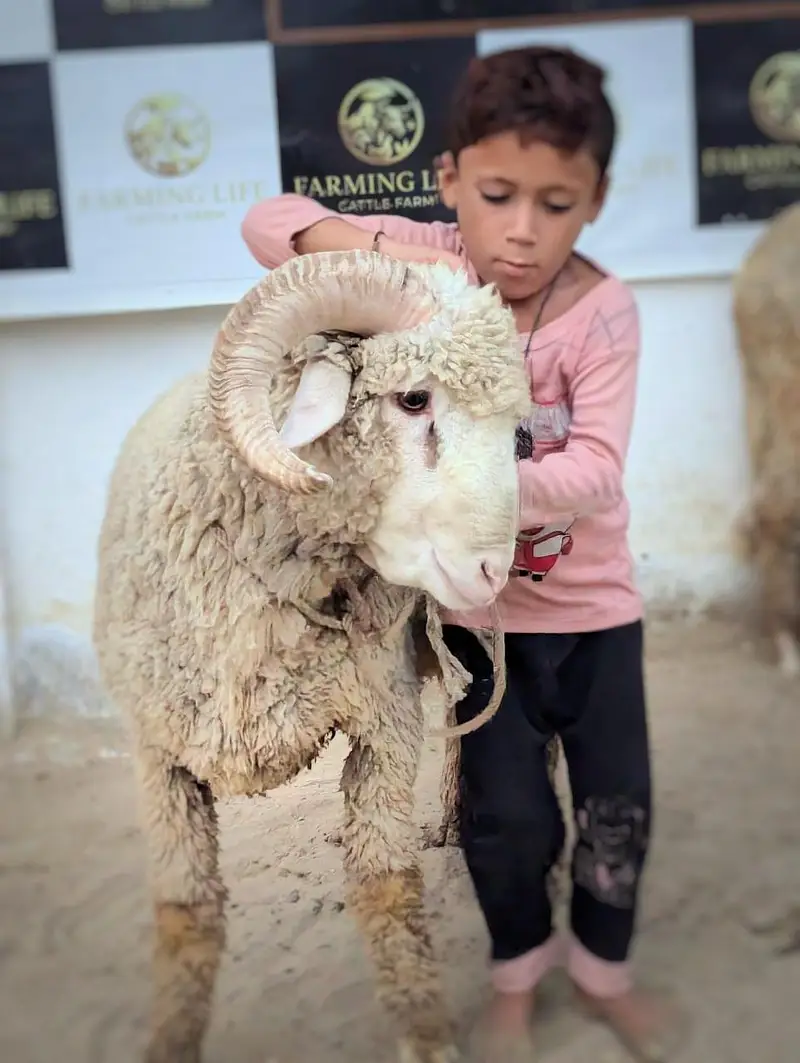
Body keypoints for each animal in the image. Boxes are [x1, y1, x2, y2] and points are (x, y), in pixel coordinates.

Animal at [92, 248, 534, 1063]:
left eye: (516, 429)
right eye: (414, 399)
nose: (493, 572)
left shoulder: (385, 724)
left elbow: (386, 887)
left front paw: (425, 1033)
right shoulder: (158, 755)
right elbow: (184, 913)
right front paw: (170, 1038)